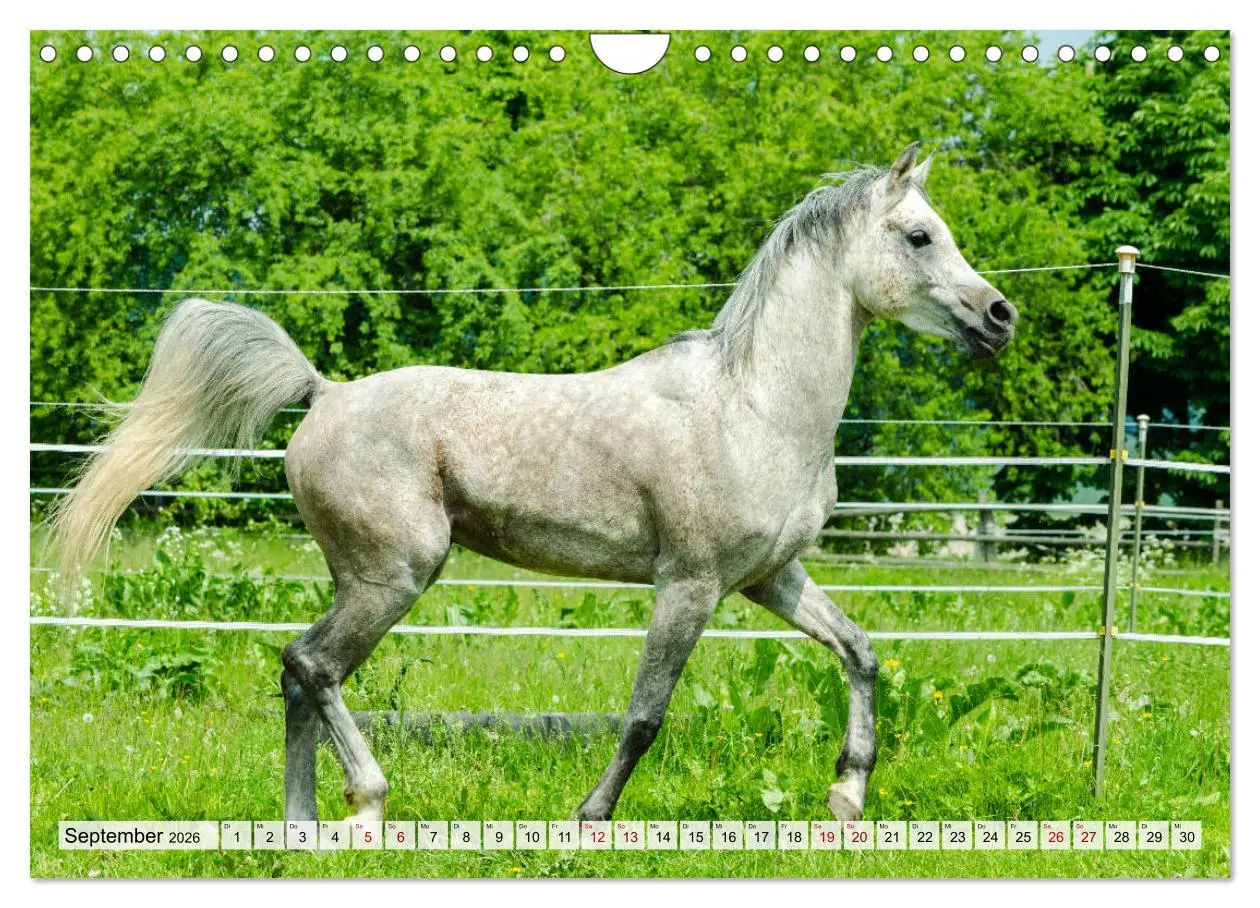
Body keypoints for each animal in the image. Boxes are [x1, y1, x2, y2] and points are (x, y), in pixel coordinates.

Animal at [52, 143, 1016, 824]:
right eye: (920, 235)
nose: (1000, 316)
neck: (754, 404)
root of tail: (324, 393)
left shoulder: (770, 580)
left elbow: (861, 652)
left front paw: (847, 798)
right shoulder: (691, 584)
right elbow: (645, 714)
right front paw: (590, 816)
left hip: (365, 578)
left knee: (298, 674)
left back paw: (307, 826)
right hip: (393, 575)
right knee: (310, 664)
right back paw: (367, 803)